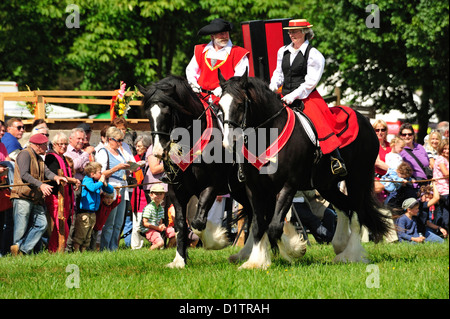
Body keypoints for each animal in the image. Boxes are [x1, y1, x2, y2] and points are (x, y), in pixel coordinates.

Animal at [139, 76, 251, 268]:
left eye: (167, 112)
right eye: (148, 114)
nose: (159, 152)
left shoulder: (211, 187)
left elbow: (198, 222)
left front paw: (216, 240)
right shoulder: (176, 190)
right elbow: (181, 224)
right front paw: (179, 260)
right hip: (239, 190)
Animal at [220, 74, 392, 272]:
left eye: (240, 104)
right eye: (220, 106)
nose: (229, 142)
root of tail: (366, 121)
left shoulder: (288, 186)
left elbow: (274, 226)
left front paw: (294, 249)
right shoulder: (255, 188)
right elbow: (259, 224)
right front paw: (256, 261)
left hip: (358, 177)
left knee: (357, 212)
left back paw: (351, 254)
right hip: (326, 184)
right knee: (344, 206)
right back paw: (340, 245)